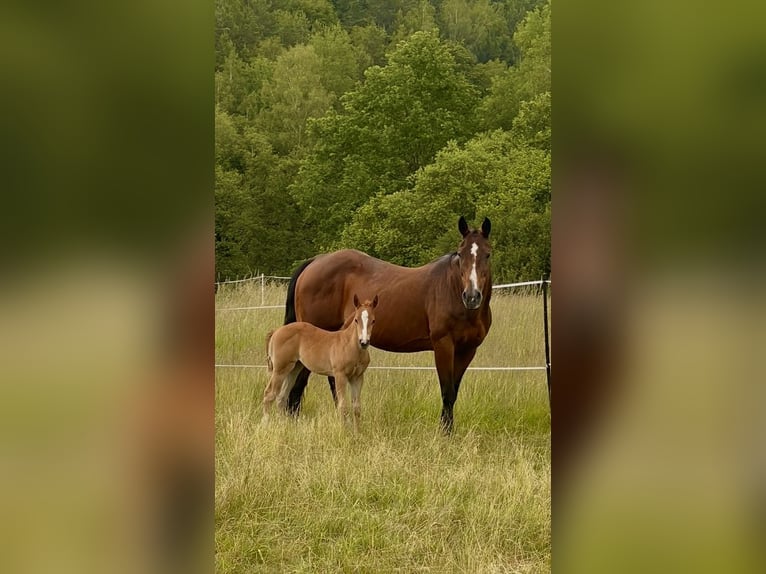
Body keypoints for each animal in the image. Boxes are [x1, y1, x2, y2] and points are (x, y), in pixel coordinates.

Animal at [262, 294, 379, 430]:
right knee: (269, 394)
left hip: (294, 368)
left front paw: (357, 432)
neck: (350, 345)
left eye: (373, 321)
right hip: (280, 369)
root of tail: (276, 331)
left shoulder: (357, 377)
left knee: (281, 397)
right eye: (356, 320)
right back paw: (265, 425)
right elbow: (343, 406)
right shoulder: (340, 375)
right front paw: (343, 431)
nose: (364, 342)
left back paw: (283, 426)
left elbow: (356, 408)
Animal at [282, 216, 492, 433]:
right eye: (460, 253)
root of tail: (315, 261)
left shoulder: (467, 350)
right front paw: (445, 434)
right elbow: (447, 391)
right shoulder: (443, 345)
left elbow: (454, 392)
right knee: (300, 382)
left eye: (487, 254)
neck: (451, 289)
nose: (472, 296)